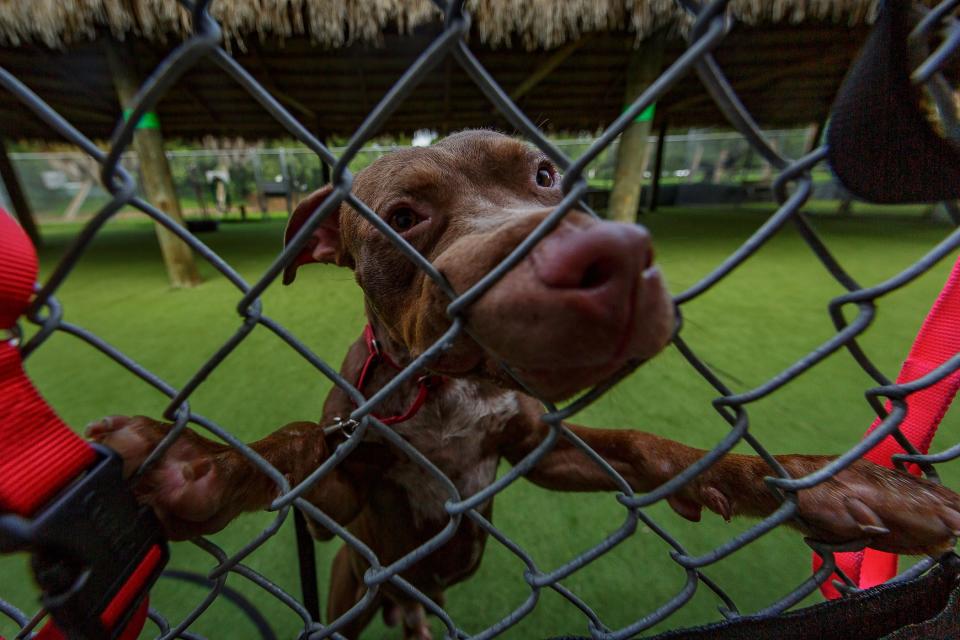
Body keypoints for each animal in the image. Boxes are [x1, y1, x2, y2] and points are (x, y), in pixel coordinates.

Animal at [88, 130, 960, 640]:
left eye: (544, 173)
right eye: (403, 217)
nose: (612, 256)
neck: (441, 389)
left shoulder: (540, 447)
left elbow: (649, 445)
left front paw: (839, 488)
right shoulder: (345, 494)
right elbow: (298, 444)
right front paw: (197, 463)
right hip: (351, 586)